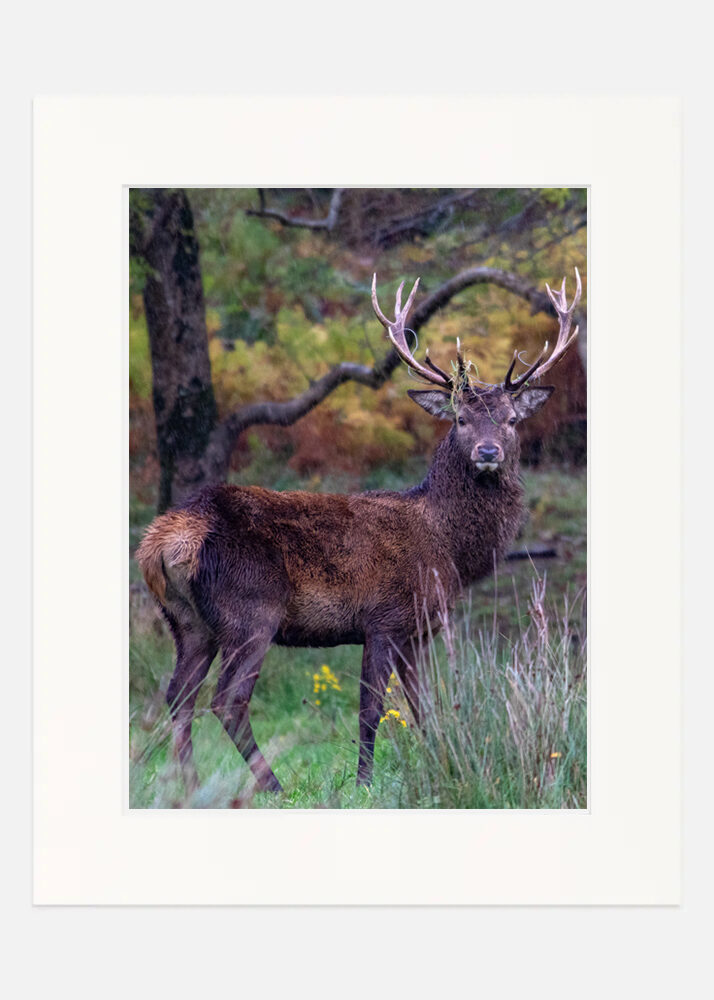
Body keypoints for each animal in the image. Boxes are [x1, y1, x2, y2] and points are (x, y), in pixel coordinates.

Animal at [136, 269, 581, 795]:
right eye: (460, 418)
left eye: (512, 420)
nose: (488, 452)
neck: (450, 552)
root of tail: (166, 539)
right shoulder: (384, 617)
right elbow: (372, 709)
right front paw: (364, 783)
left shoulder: (418, 631)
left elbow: (424, 708)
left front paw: (439, 763)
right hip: (250, 610)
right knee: (226, 699)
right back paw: (272, 786)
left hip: (187, 621)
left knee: (177, 695)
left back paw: (186, 786)